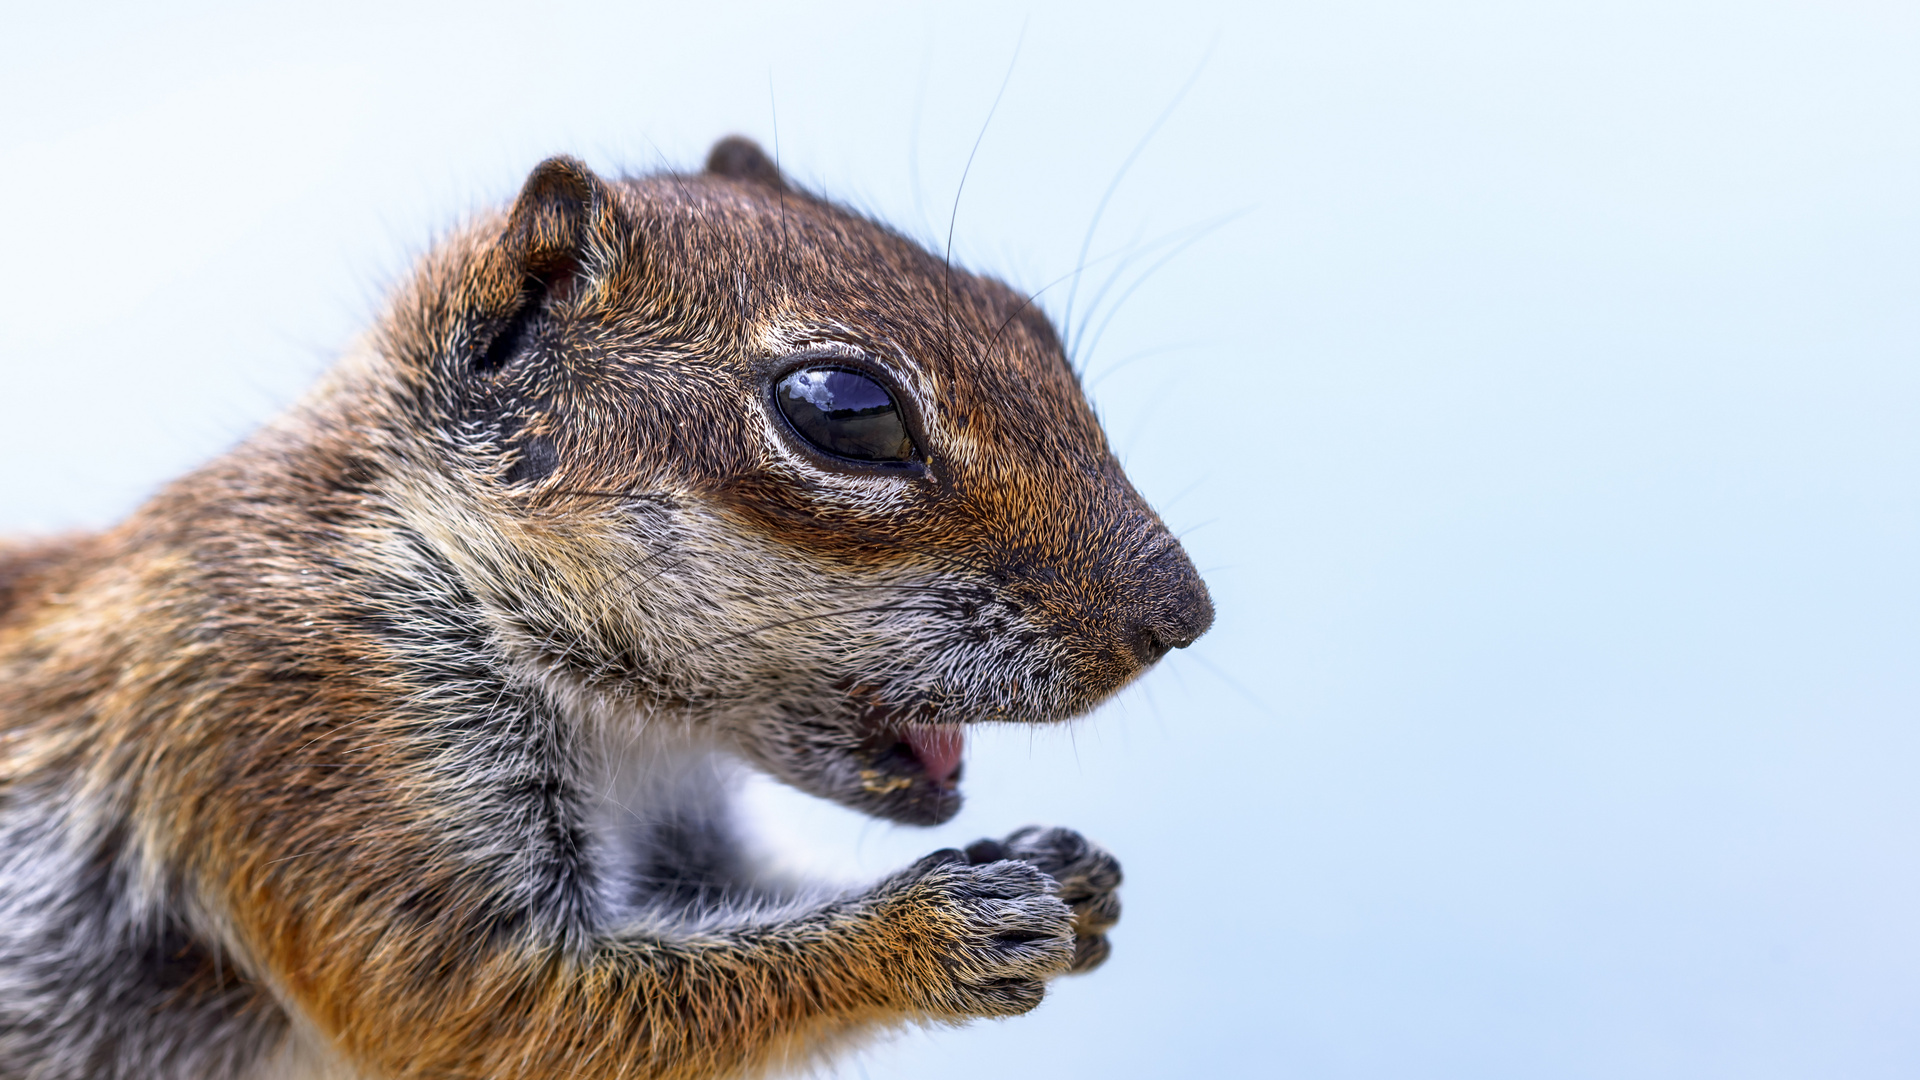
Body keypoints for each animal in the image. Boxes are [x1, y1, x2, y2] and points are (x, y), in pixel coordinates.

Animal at [0, 136, 1205, 1076]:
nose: (1184, 617)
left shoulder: (686, 841)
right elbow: (491, 1010)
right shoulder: (315, 723)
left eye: (1028, 321)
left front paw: (1063, 870)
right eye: (843, 409)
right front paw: (928, 932)